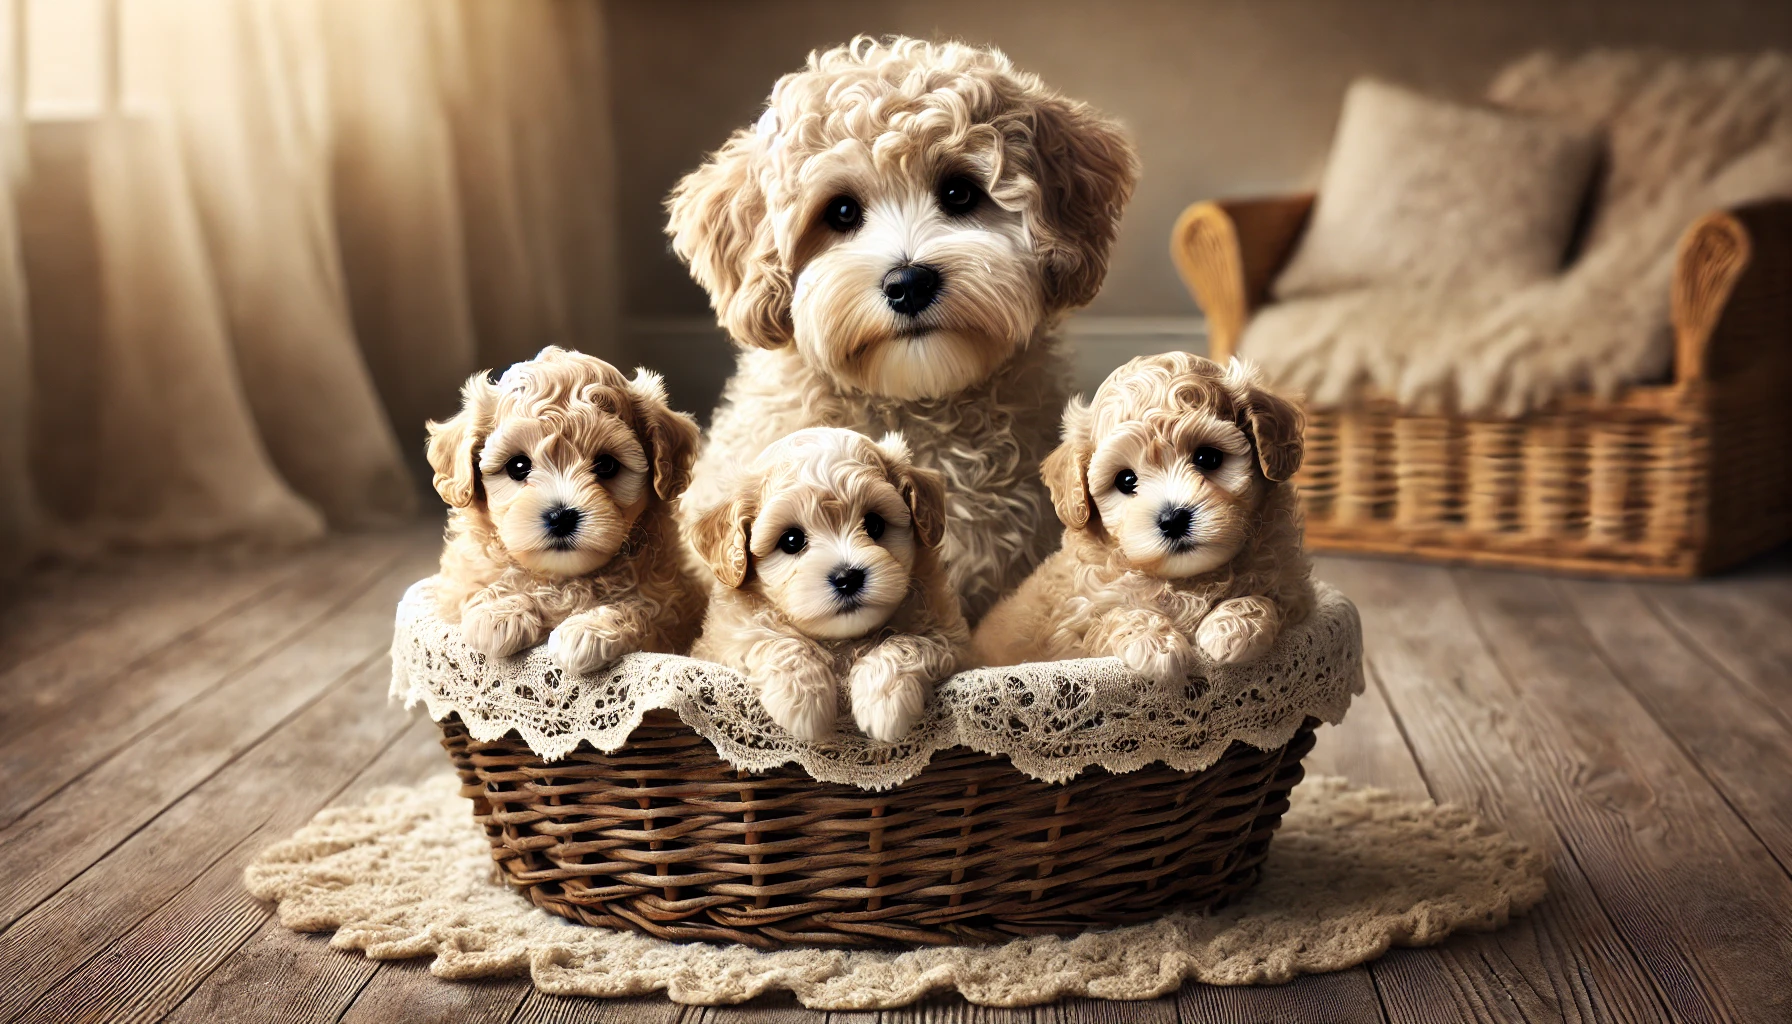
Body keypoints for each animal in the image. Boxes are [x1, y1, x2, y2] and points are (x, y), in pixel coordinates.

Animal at [430, 347, 702, 677]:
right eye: (518, 466)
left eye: (606, 465)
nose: (560, 517)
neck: (564, 579)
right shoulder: (456, 589)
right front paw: (498, 612)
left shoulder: (672, 609)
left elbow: (644, 607)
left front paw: (588, 631)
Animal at [688, 428, 967, 742]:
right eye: (792, 540)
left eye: (874, 524)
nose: (847, 577)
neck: (842, 642)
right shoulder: (725, 637)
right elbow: (770, 638)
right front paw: (803, 698)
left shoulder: (948, 634)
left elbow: (906, 642)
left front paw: (883, 700)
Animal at [974, 353, 1311, 681]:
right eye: (1126, 480)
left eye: (1208, 458)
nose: (1173, 519)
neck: (1186, 581)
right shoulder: (1072, 627)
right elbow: (1114, 616)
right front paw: (1155, 644)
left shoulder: (1294, 590)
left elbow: (1268, 600)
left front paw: (1233, 626)